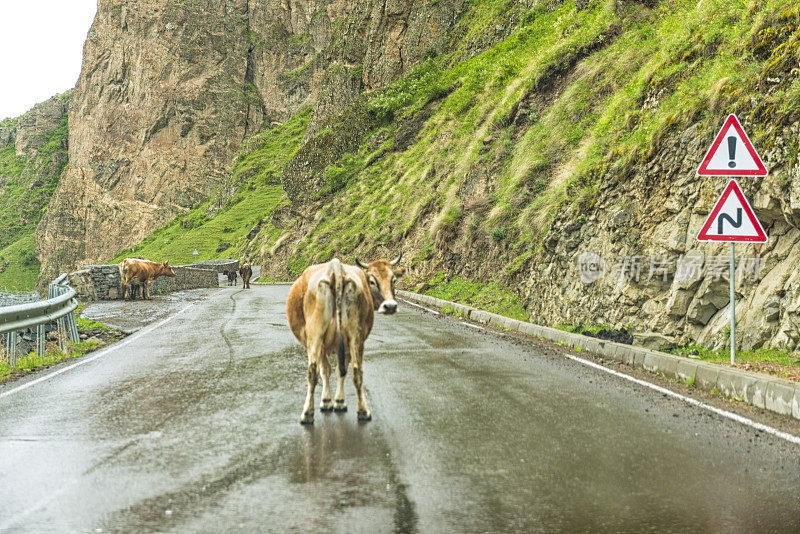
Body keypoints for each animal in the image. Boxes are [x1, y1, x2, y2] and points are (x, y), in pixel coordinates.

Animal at [286, 255, 406, 428]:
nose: (390, 306)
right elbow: (334, 370)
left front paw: (333, 401)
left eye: (393, 280)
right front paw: (333, 401)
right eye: (372, 281)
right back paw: (362, 411)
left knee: (314, 372)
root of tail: (335, 267)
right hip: (353, 335)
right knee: (356, 371)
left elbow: (329, 370)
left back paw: (308, 413)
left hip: (317, 335)